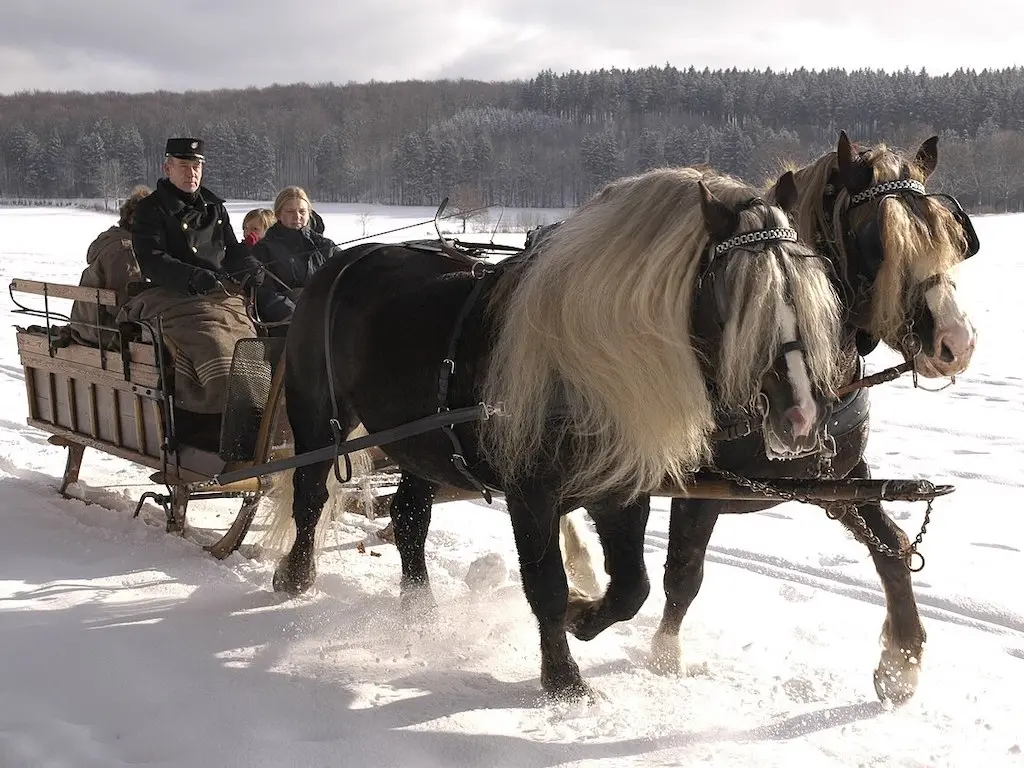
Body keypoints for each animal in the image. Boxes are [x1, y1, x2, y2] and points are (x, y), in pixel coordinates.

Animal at [268, 167, 843, 704]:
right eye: (736, 297)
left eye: (808, 289)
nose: (801, 418)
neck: (581, 366)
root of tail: (342, 262)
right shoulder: (531, 495)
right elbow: (545, 586)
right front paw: (564, 680)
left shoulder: (619, 489)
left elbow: (632, 587)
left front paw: (583, 617)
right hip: (317, 415)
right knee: (310, 492)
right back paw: (294, 575)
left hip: (425, 444)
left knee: (410, 517)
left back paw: (420, 612)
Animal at [643, 131, 978, 704]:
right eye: (878, 241)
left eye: (950, 234)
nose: (956, 342)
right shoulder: (700, 486)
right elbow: (684, 571)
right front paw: (664, 659)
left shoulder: (839, 479)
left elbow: (892, 548)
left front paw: (901, 661)